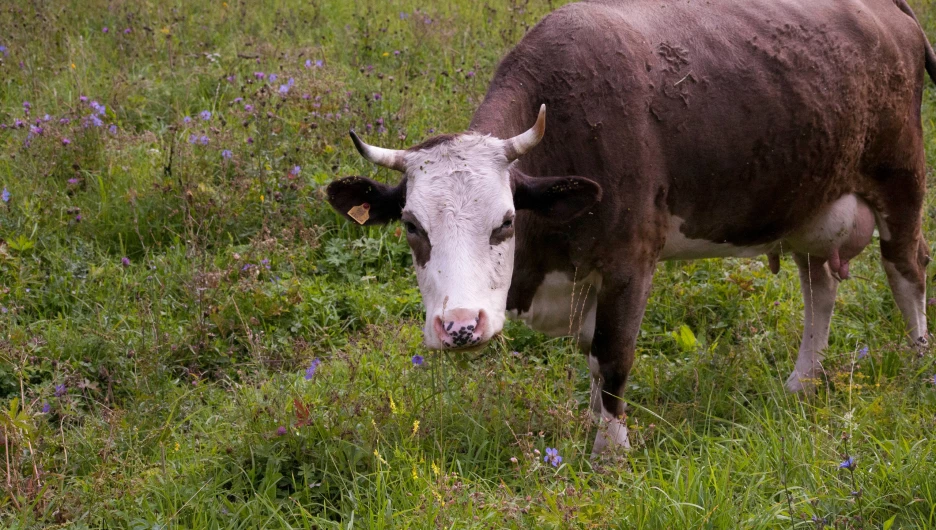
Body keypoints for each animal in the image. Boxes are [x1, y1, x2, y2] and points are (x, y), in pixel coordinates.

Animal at [328, 0, 936, 452]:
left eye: (506, 222)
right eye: (412, 225)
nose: (459, 327)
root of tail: (889, 10)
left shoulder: (630, 262)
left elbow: (612, 354)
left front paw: (611, 451)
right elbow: (592, 359)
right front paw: (593, 427)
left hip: (901, 180)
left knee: (907, 270)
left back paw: (917, 366)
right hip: (813, 201)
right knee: (821, 289)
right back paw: (801, 382)